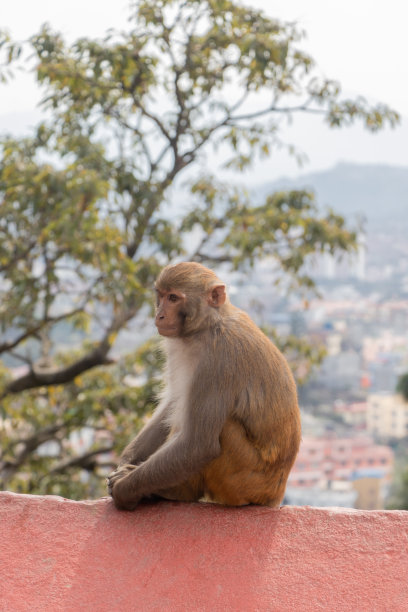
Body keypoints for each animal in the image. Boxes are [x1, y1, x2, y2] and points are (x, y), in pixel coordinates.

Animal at [107, 260, 300, 510]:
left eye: (174, 298)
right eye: (161, 295)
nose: (159, 315)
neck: (208, 326)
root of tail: (275, 495)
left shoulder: (219, 361)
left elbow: (198, 444)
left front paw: (124, 488)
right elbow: (173, 402)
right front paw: (124, 464)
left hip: (246, 481)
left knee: (222, 429)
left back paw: (175, 491)